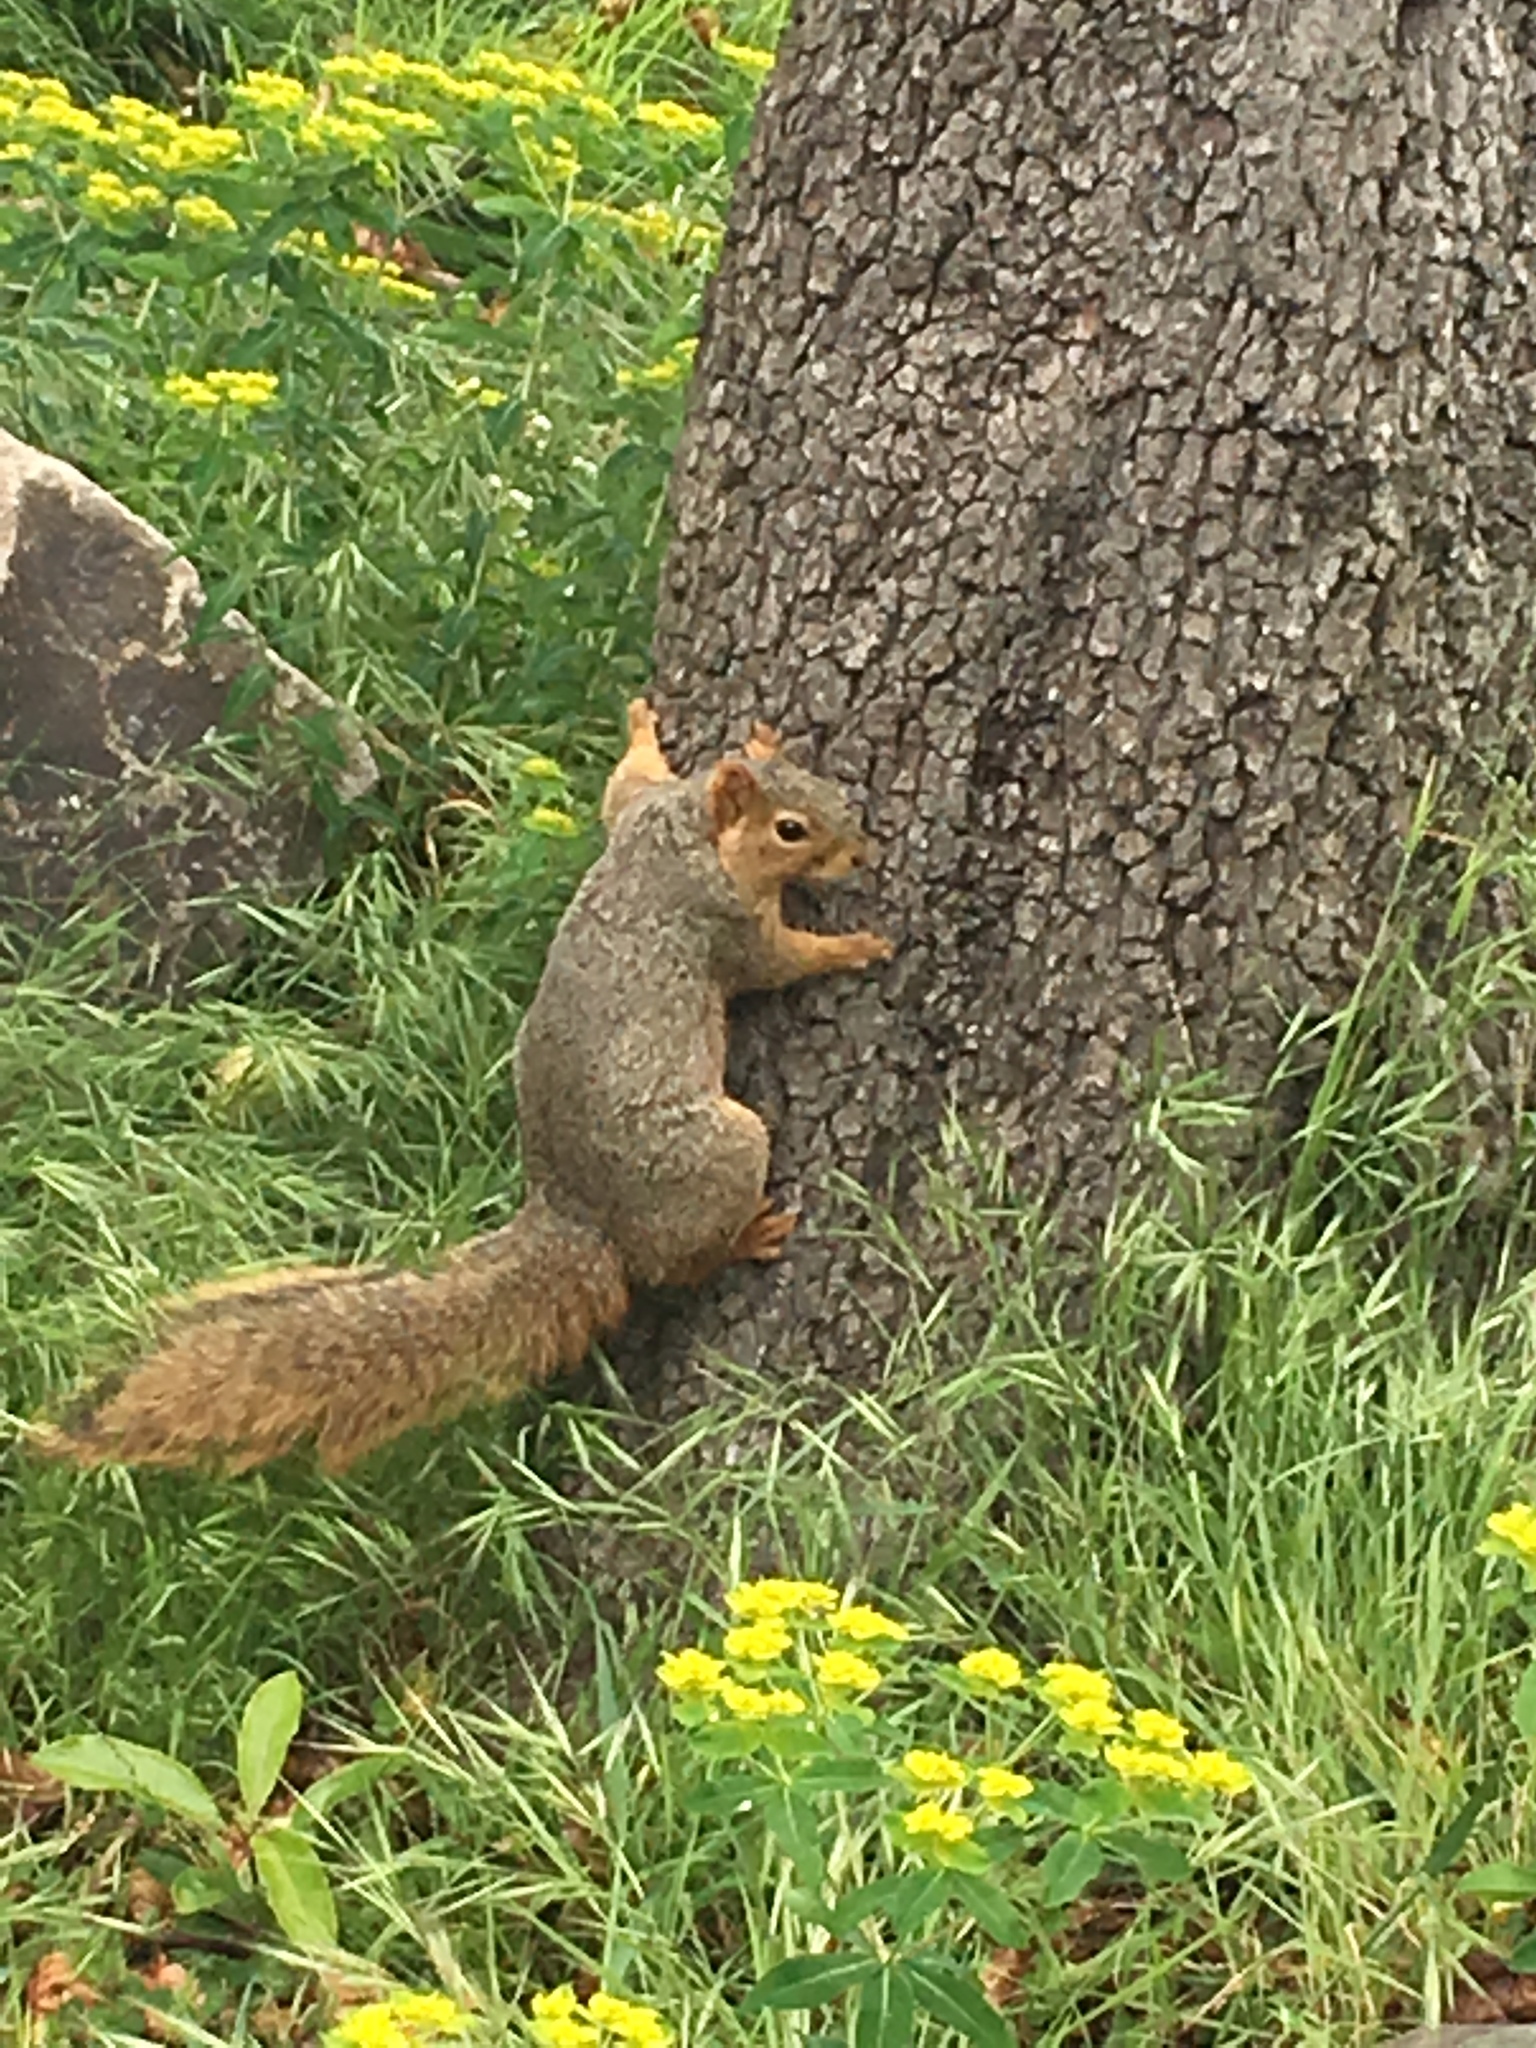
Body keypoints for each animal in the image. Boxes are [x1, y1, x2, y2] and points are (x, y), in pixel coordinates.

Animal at [36, 700, 897, 1474]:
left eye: (823, 784)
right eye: (792, 830)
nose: (862, 854)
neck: (689, 836)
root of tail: (578, 1217)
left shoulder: (638, 815)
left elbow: (622, 786)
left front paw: (644, 725)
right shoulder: (723, 922)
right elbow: (778, 962)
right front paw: (856, 946)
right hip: (717, 1155)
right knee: (677, 1265)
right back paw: (749, 1235)